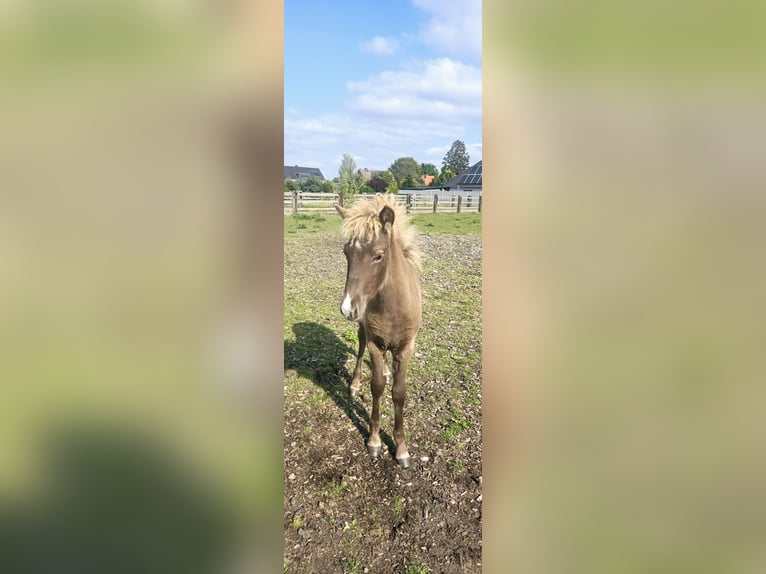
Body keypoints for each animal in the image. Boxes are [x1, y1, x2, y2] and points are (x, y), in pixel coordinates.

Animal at [334, 196, 424, 470]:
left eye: (378, 256)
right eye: (346, 252)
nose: (348, 308)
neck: (393, 307)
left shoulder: (405, 347)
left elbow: (399, 393)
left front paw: (402, 450)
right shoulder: (375, 343)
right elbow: (377, 387)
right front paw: (374, 441)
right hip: (364, 330)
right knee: (361, 346)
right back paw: (354, 385)